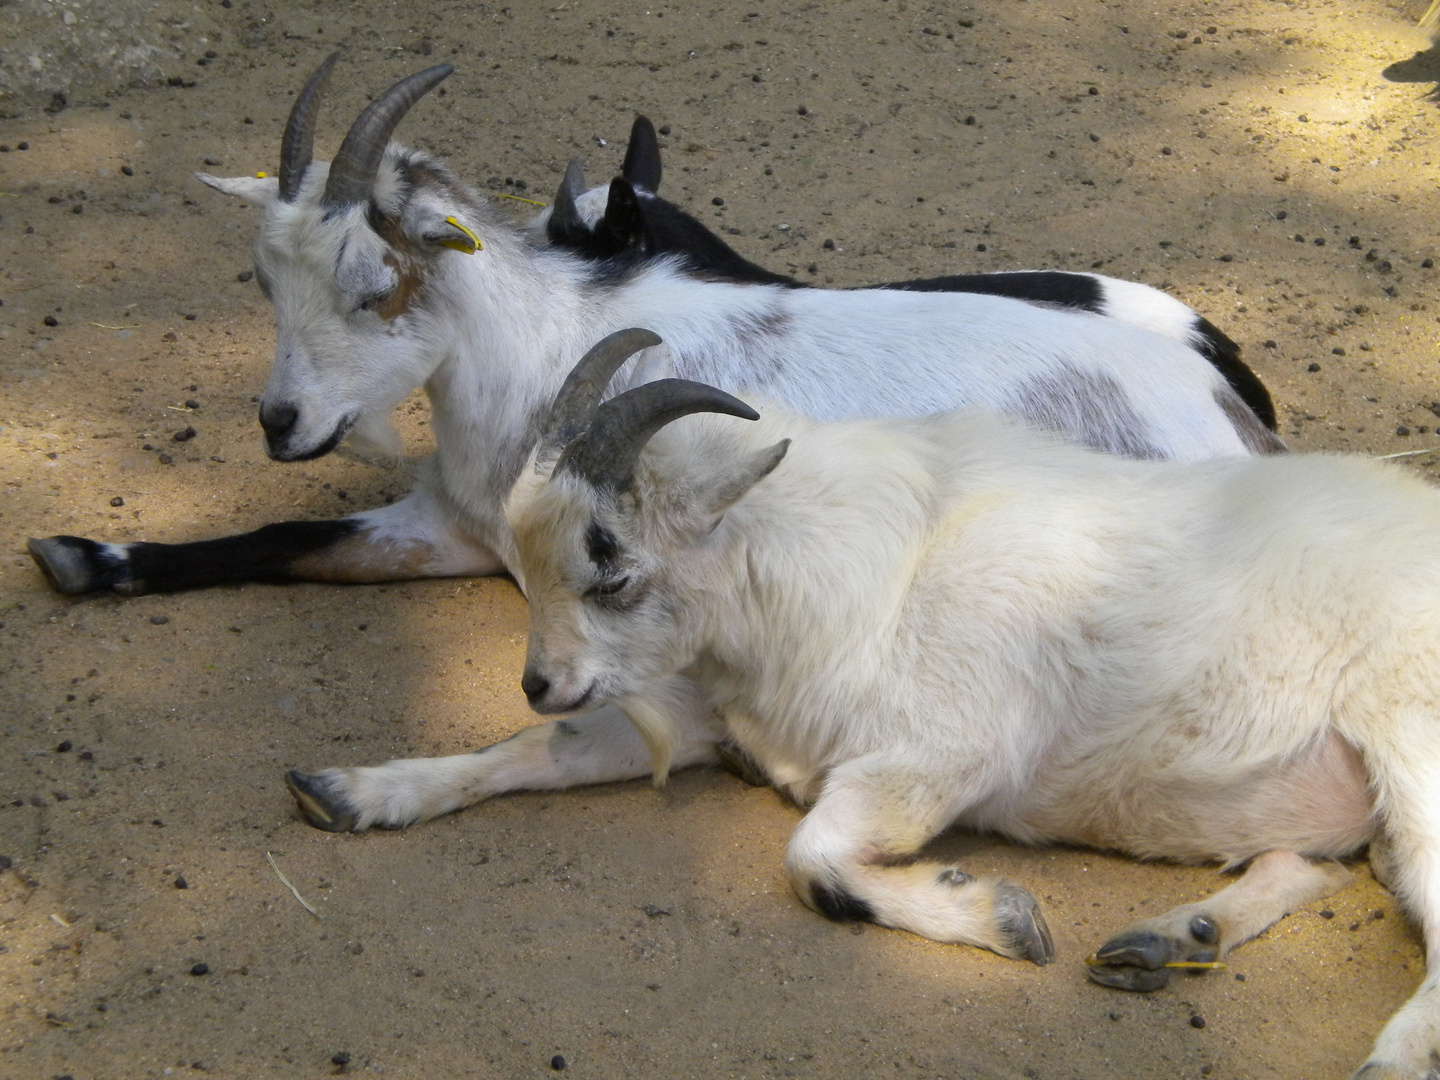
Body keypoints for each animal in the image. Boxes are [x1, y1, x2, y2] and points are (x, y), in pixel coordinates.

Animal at [28, 55, 1278, 601]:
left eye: (377, 282)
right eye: (260, 279)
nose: (281, 423)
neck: (541, 351)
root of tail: (1230, 414)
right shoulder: (451, 526)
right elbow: (290, 539)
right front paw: (88, 556)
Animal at [329, 329, 1440, 1080]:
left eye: (614, 575)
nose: (540, 678)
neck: (866, 572)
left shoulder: (934, 759)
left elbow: (814, 861)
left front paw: (1001, 917)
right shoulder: (713, 719)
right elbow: (537, 750)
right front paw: (356, 791)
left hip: (1415, 762)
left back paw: (1382, 1053)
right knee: (1312, 865)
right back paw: (1172, 940)